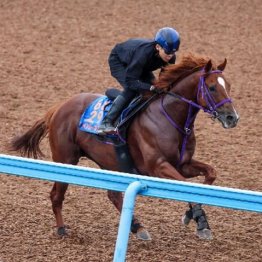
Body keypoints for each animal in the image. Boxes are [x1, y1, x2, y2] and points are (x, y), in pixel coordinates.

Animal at [9, 53, 239, 242]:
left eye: (228, 85)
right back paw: (62, 229)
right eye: (212, 87)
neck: (171, 118)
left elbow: (210, 175)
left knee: (113, 195)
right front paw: (199, 222)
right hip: (66, 160)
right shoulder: (158, 167)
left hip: (110, 162)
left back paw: (138, 227)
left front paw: (195, 218)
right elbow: (186, 186)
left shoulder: (183, 164)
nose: (232, 118)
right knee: (56, 195)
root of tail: (58, 107)